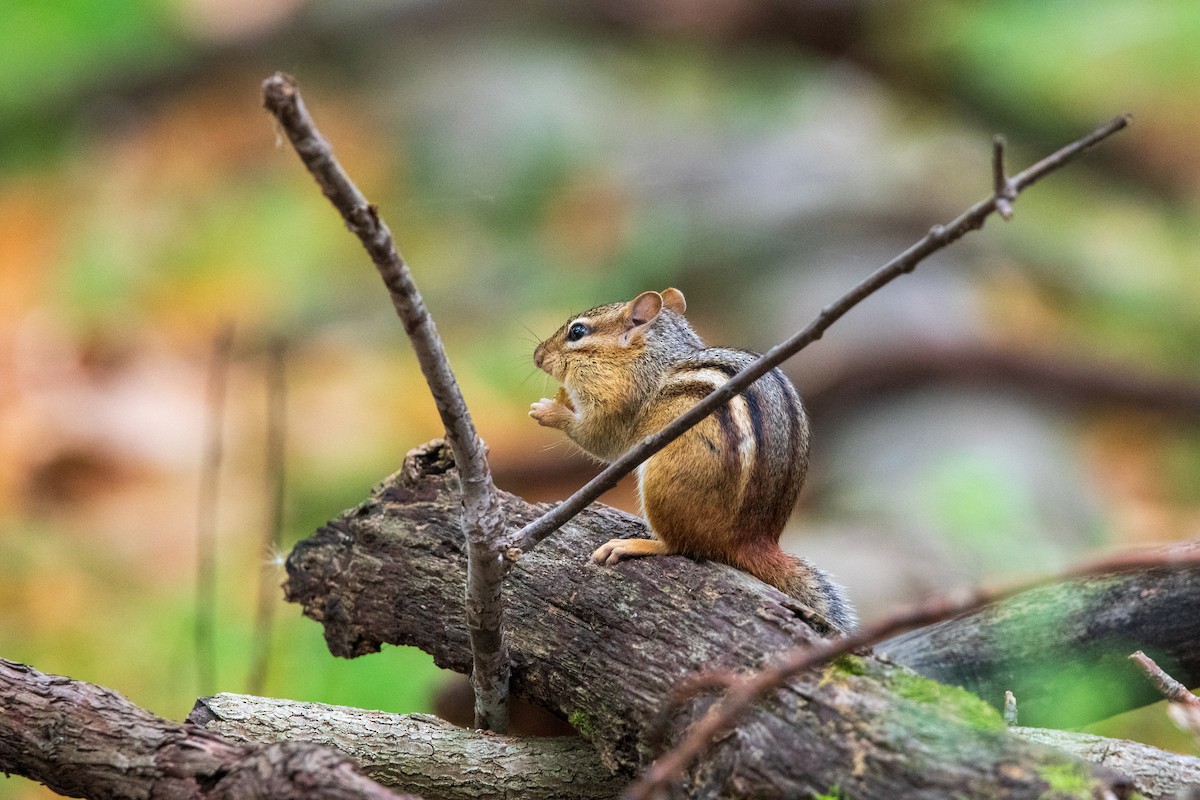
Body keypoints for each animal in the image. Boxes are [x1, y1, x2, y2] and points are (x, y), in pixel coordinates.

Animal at [530, 287, 855, 634]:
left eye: (577, 332)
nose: (537, 355)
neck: (650, 359)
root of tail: (751, 539)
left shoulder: (619, 402)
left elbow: (599, 438)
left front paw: (549, 410)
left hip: (663, 481)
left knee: (681, 545)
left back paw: (633, 545)